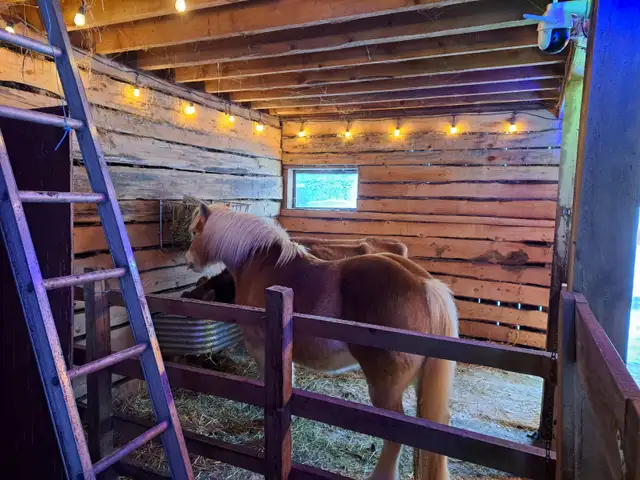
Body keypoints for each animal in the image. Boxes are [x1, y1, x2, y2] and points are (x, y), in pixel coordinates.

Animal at [185, 204, 458, 480]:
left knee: (395, 436)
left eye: (195, 231)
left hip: (385, 390)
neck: (259, 263)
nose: (189, 261)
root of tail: (424, 283)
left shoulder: (261, 348)